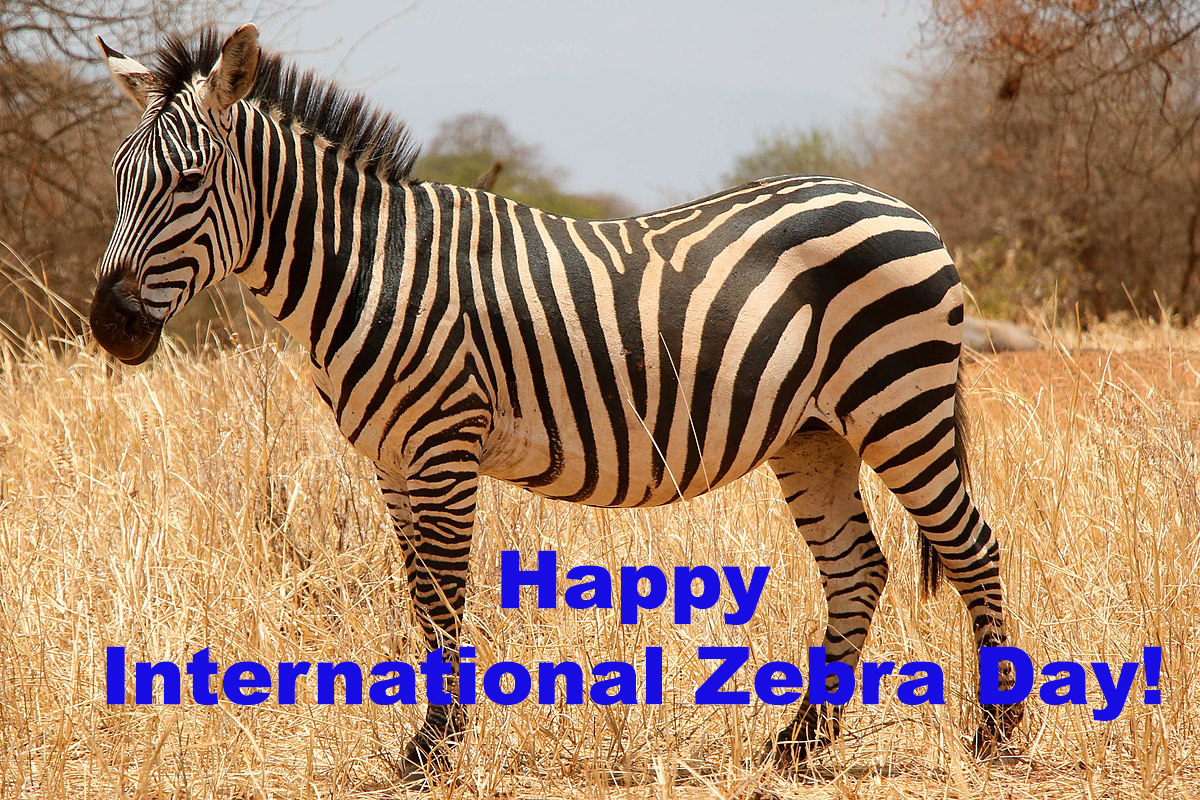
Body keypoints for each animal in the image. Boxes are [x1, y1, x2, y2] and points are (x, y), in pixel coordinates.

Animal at [89, 24, 1024, 781]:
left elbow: (443, 597)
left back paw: (998, 735)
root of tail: (905, 207)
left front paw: (435, 748)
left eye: (189, 181)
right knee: (857, 569)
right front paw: (426, 743)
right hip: (815, 432)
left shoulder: (443, 445)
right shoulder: (393, 460)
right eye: (120, 178)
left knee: (972, 547)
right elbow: (417, 596)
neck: (374, 267)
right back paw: (797, 745)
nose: (109, 326)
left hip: (899, 401)